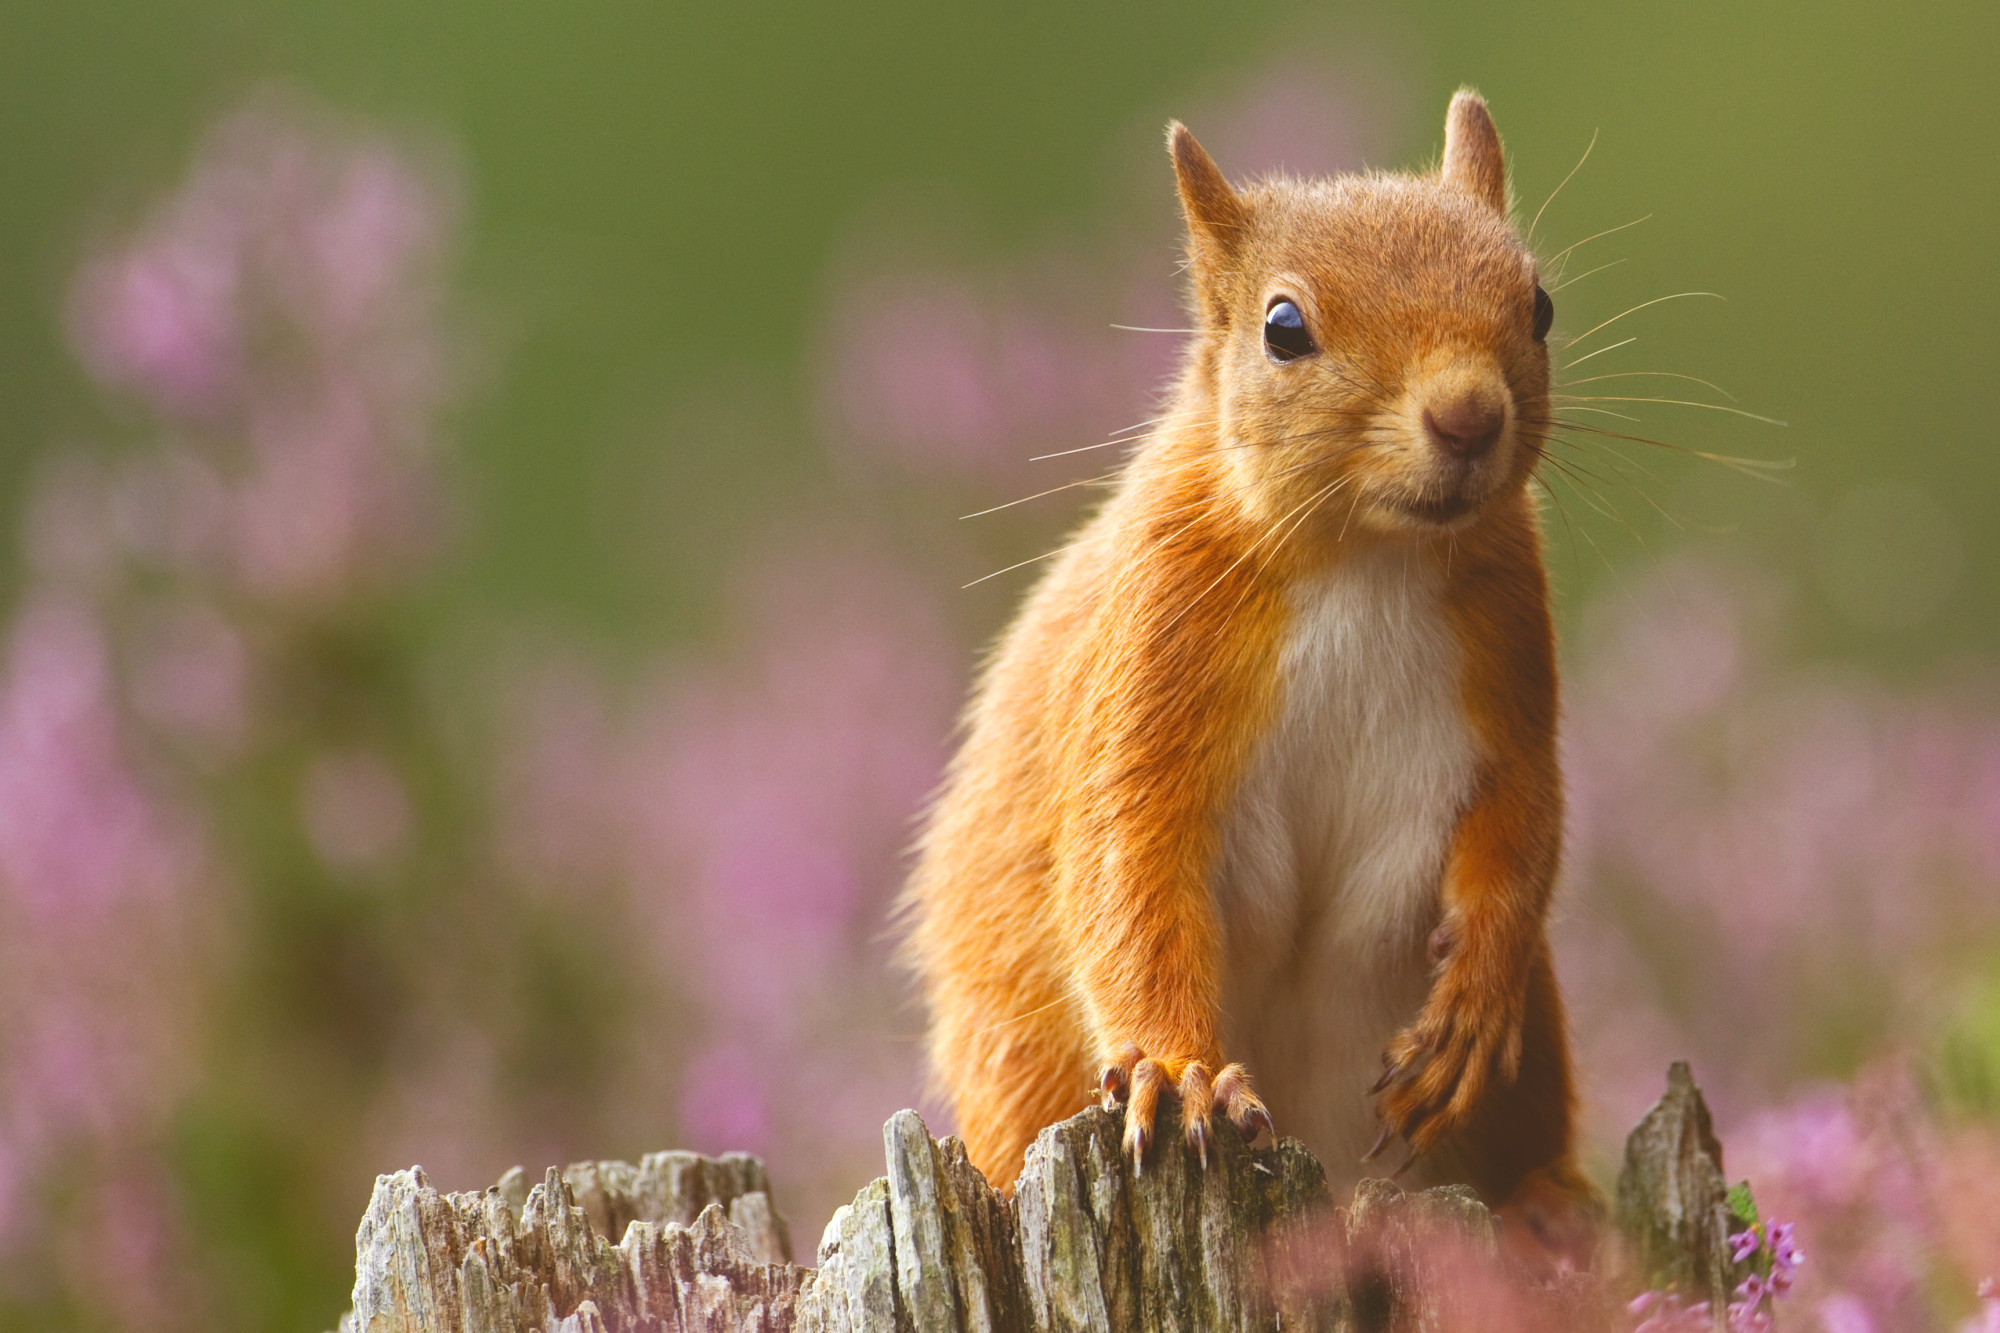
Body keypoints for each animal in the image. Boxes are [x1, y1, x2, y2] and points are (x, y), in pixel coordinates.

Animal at [908, 91, 1592, 1232]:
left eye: (1537, 304)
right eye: (1283, 328)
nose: (1468, 415)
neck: (1363, 558)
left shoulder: (1507, 659)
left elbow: (1522, 825)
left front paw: (1470, 1001)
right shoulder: (1151, 653)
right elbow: (1128, 872)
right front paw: (1174, 1072)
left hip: (1533, 1059)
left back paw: (1548, 1203)